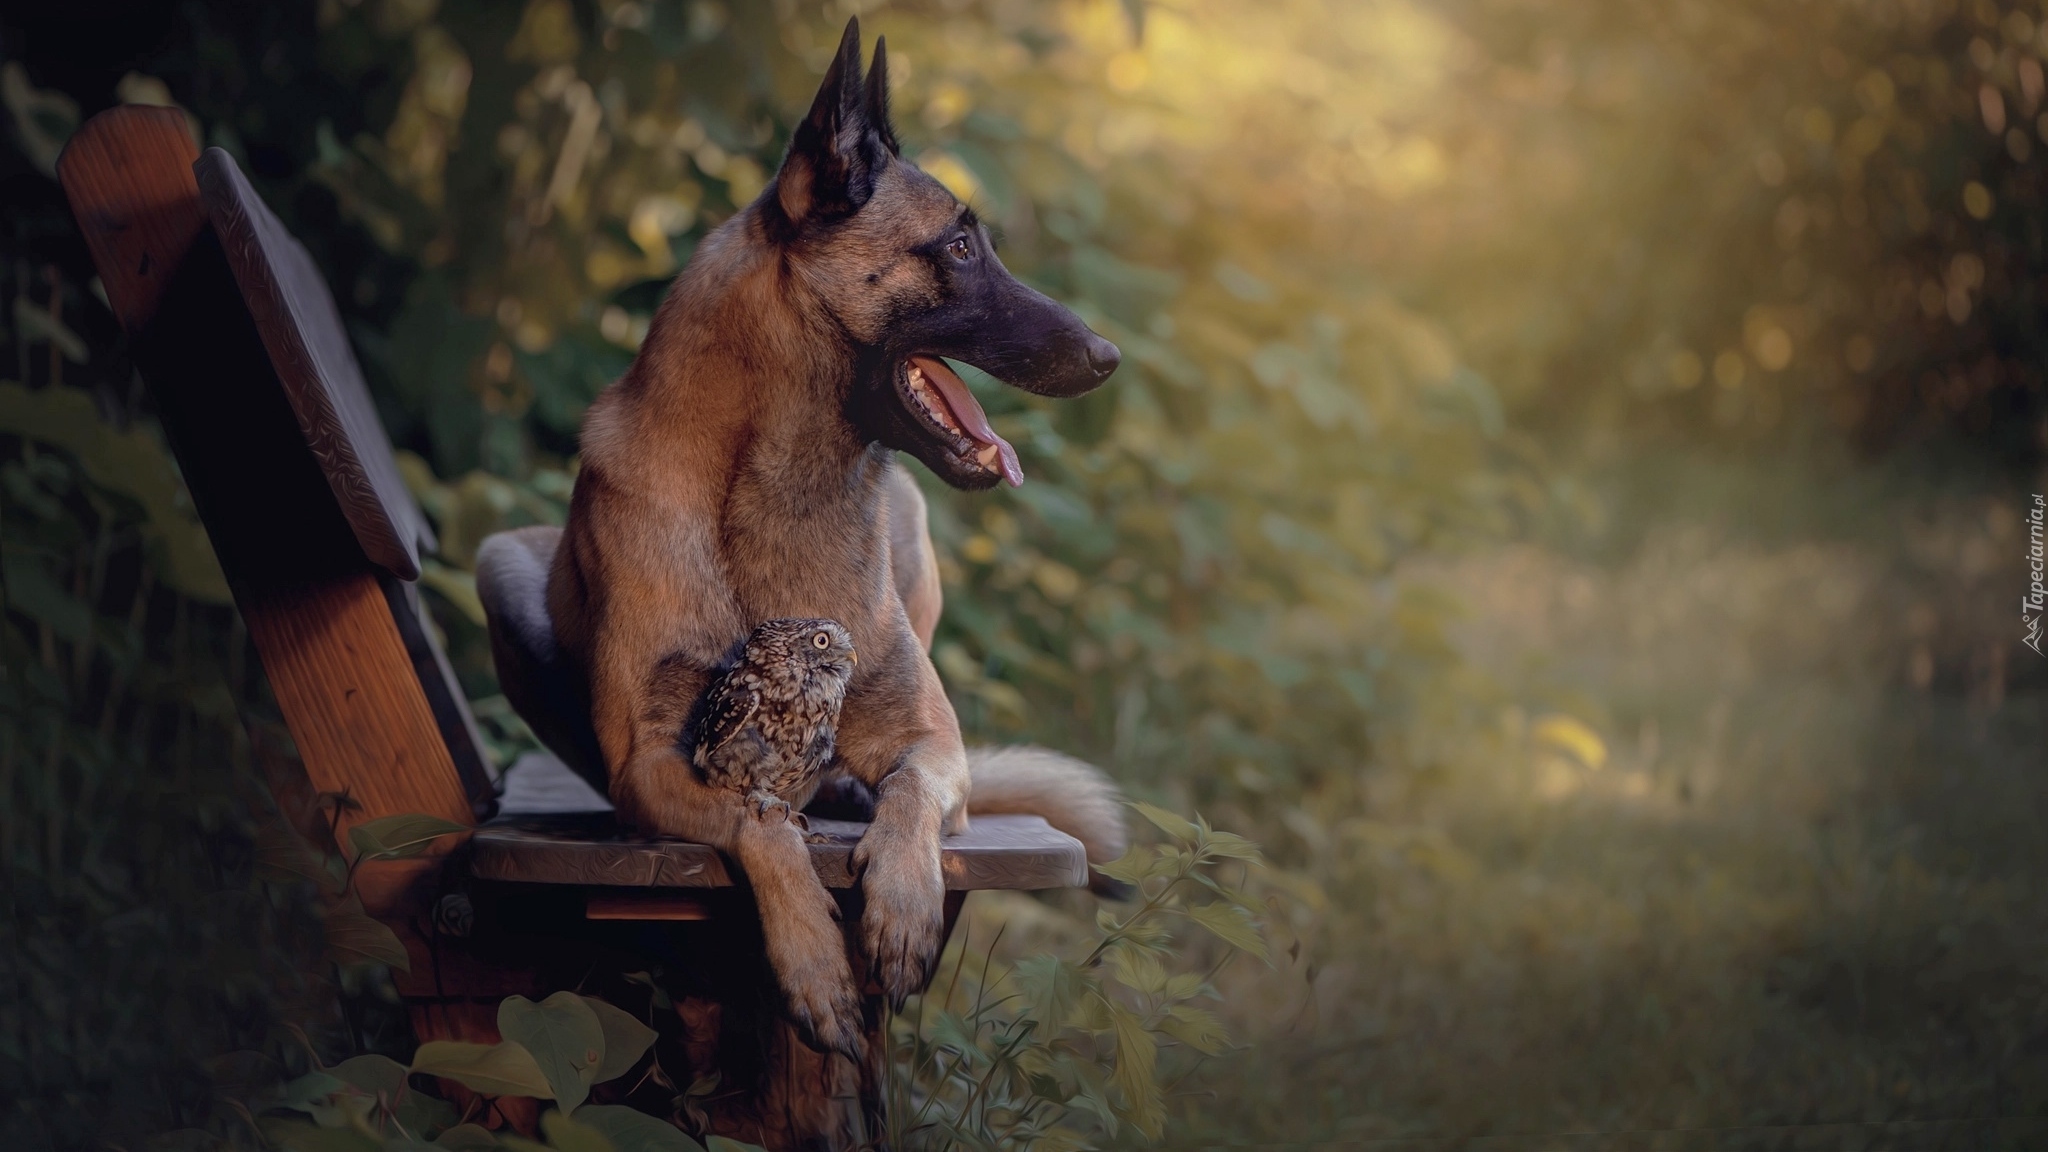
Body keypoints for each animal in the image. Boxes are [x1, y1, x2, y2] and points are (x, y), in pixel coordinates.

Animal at [473, 20, 1130, 1057]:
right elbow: (758, 822)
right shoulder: (653, 767)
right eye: (959, 246)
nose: (1109, 357)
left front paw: (901, 904)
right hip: (500, 563)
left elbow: (911, 794)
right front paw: (816, 963)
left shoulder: (931, 740)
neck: (775, 488)